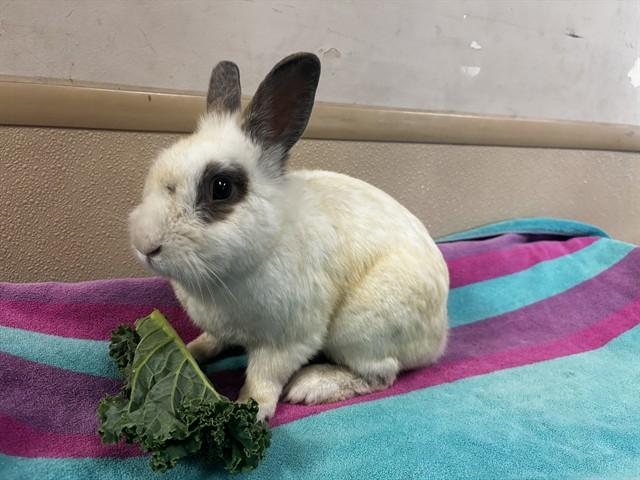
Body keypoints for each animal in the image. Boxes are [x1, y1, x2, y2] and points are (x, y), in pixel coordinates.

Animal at [128, 53, 449, 421]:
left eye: (221, 188)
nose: (146, 245)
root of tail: (439, 337)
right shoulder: (222, 328)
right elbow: (212, 340)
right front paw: (192, 349)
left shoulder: (288, 340)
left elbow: (264, 377)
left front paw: (251, 407)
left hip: (361, 329)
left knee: (381, 375)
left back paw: (311, 385)